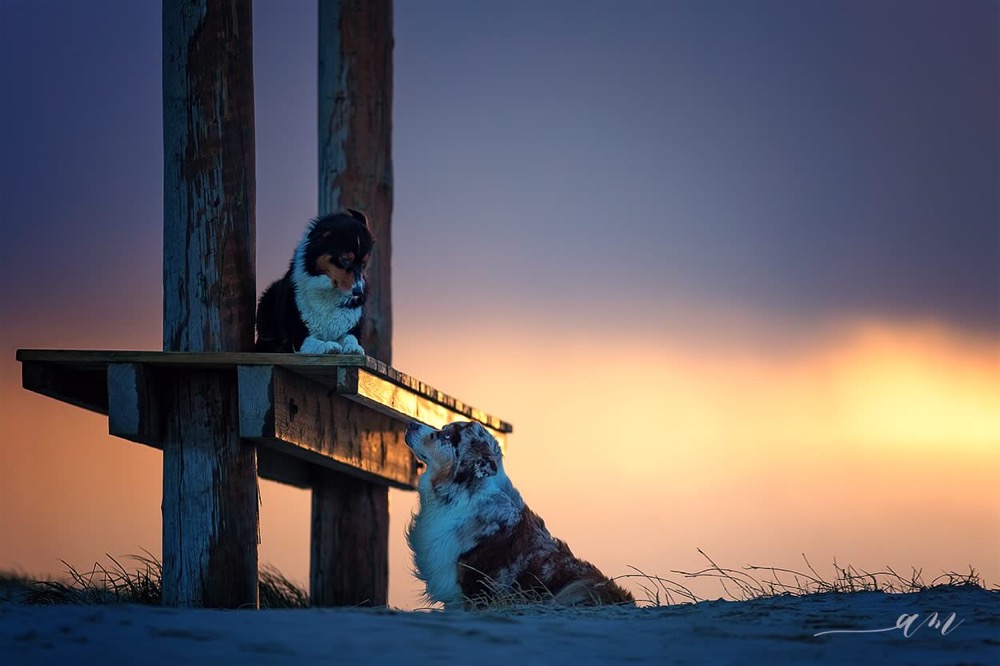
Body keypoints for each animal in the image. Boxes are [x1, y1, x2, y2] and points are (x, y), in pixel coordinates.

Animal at [256, 209, 374, 352]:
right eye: (345, 259)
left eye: (364, 263)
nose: (358, 292)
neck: (328, 293)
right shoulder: (296, 337)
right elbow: (314, 341)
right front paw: (328, 345)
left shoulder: (350, 328)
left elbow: (350, 337)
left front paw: (353, 346)